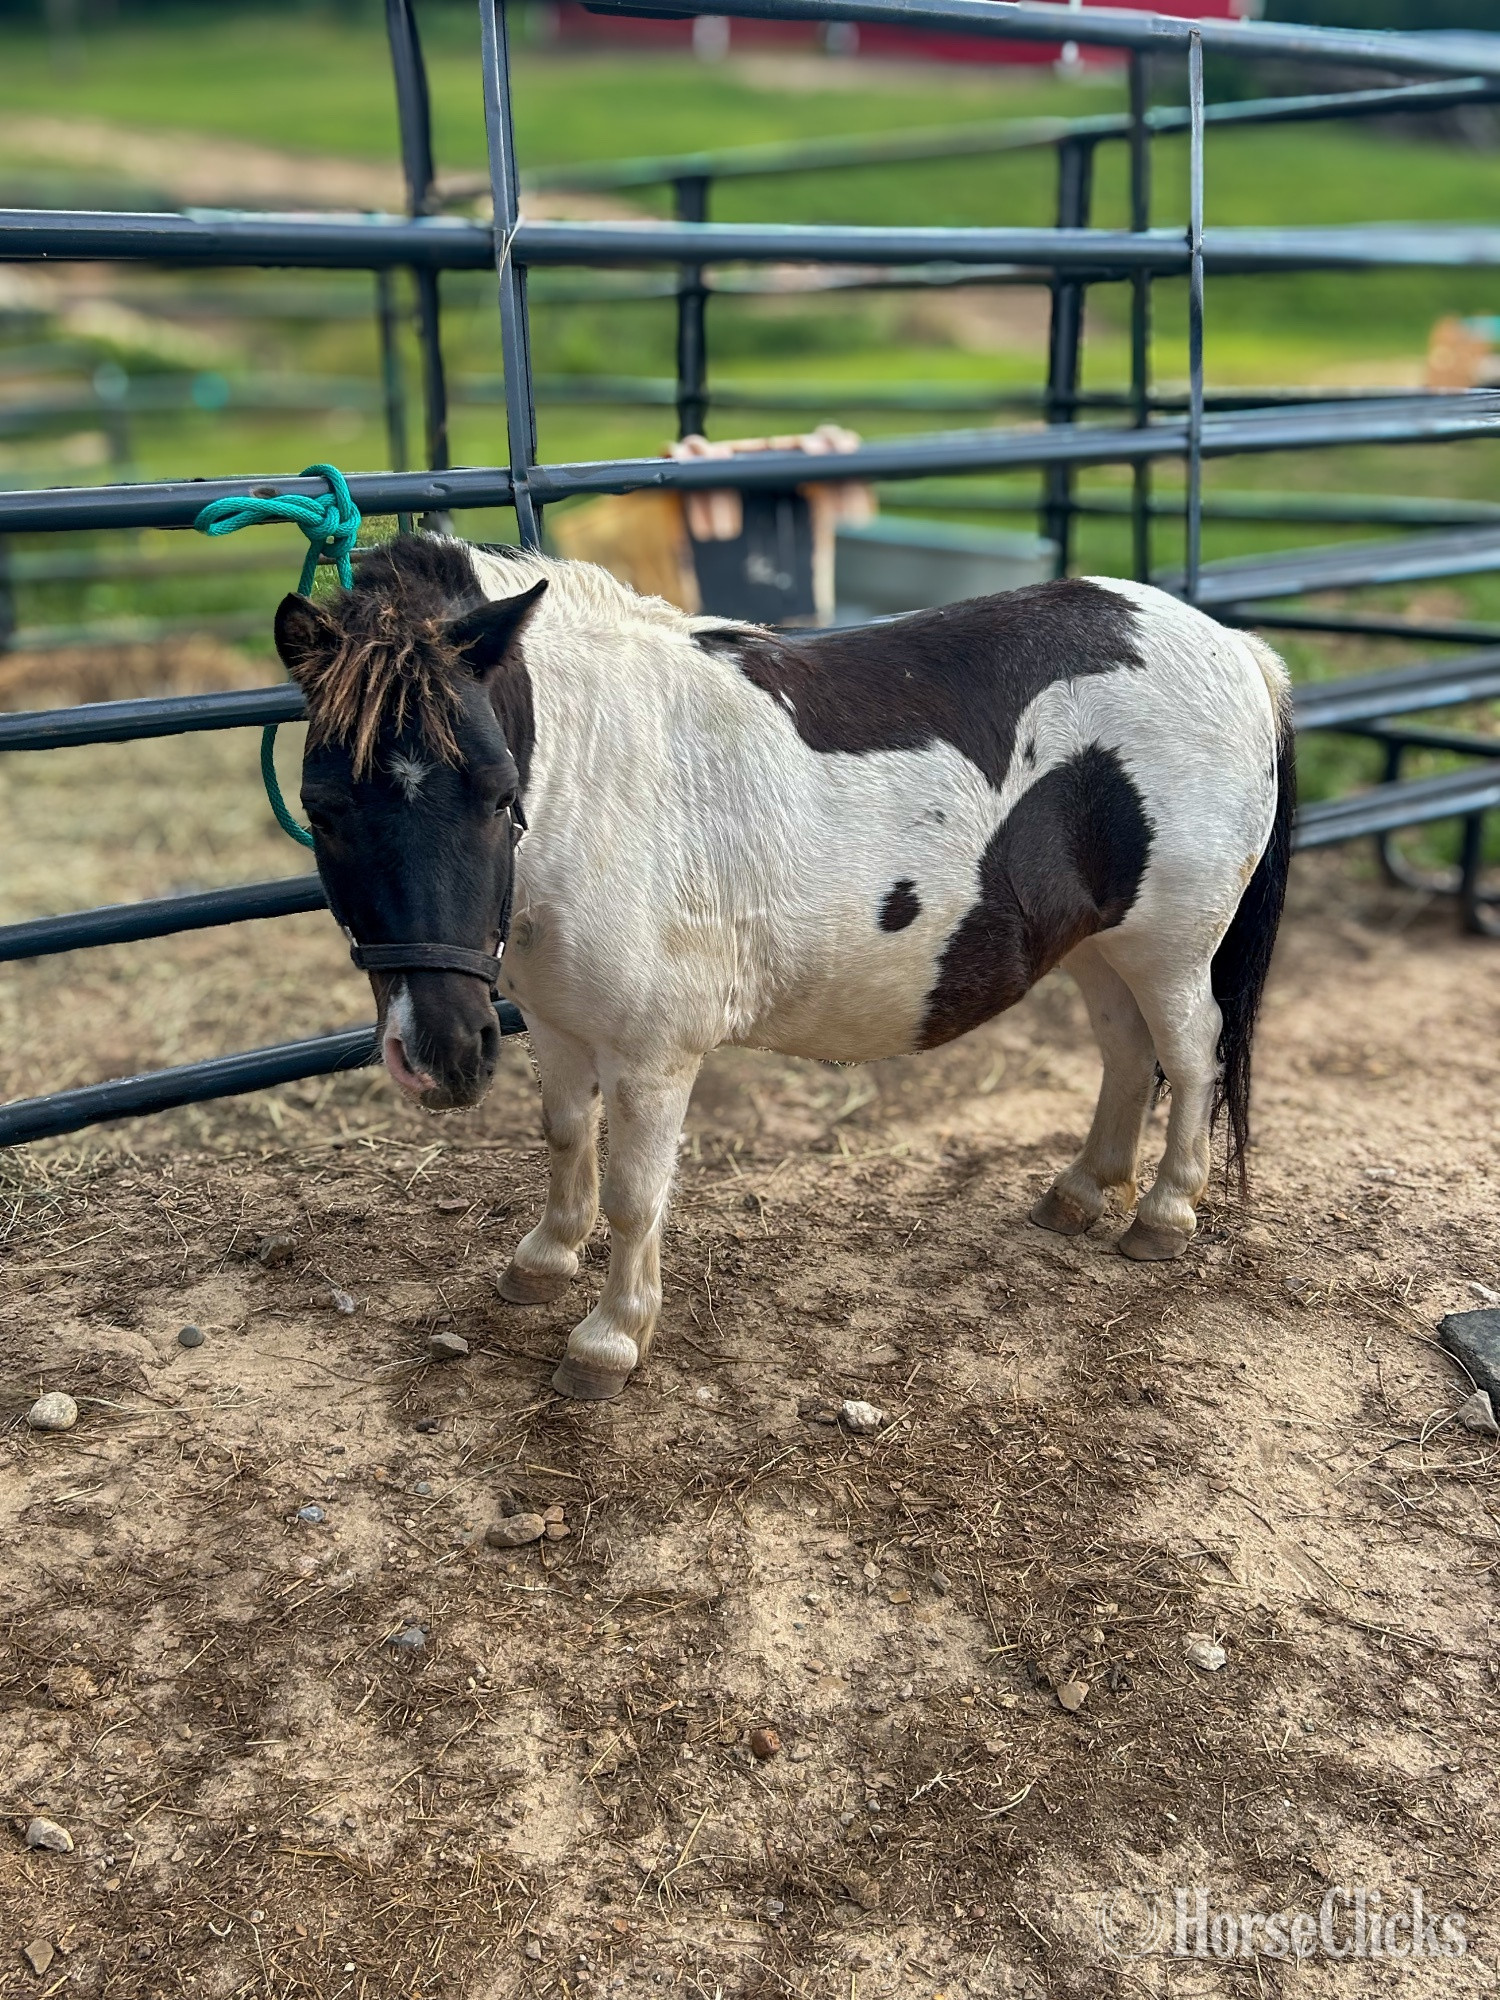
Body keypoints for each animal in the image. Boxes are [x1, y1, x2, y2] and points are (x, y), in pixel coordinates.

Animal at [275, 533, 1294, 1401]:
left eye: (495, 795)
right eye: (323, 810)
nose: (442, 1055)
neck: (600, 778)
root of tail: (1238, 649)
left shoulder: (652, 1056)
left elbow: (635, 1196)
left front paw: (611, 1339)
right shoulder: (556, 1027)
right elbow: (566, 1140)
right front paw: (543, 1260)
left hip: (1171, 947)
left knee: (1191, 1055)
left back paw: (1164, 1214)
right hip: (1097, 945)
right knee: (1127, 1052)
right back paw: (1082, 1193)